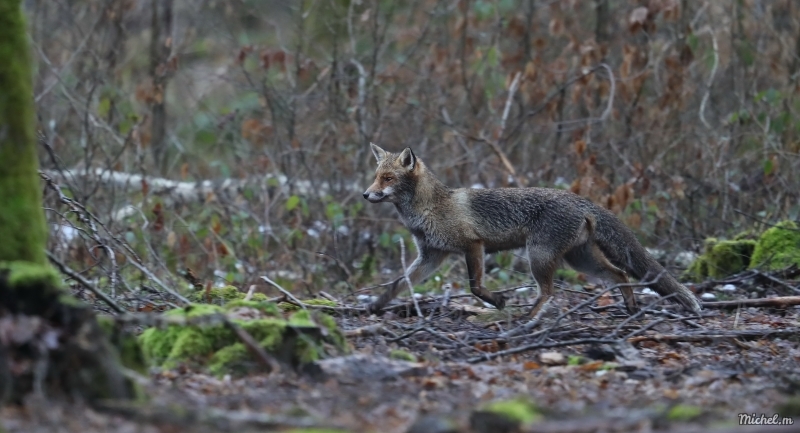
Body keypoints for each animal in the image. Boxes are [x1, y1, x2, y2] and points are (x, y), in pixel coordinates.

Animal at [362, 143, 700, 316]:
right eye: (376, 177)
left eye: (388, 179)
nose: (365, 195)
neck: (430, 208)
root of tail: (578, 198)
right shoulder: (432, 255)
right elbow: (398, 283)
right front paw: (376, 306)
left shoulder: (473, 245)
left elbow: (475, 287)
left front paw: (498, 302)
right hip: (581, 260)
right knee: (621, 274)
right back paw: (630, 306)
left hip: (538, 256)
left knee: (549, 292)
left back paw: (527, 319)